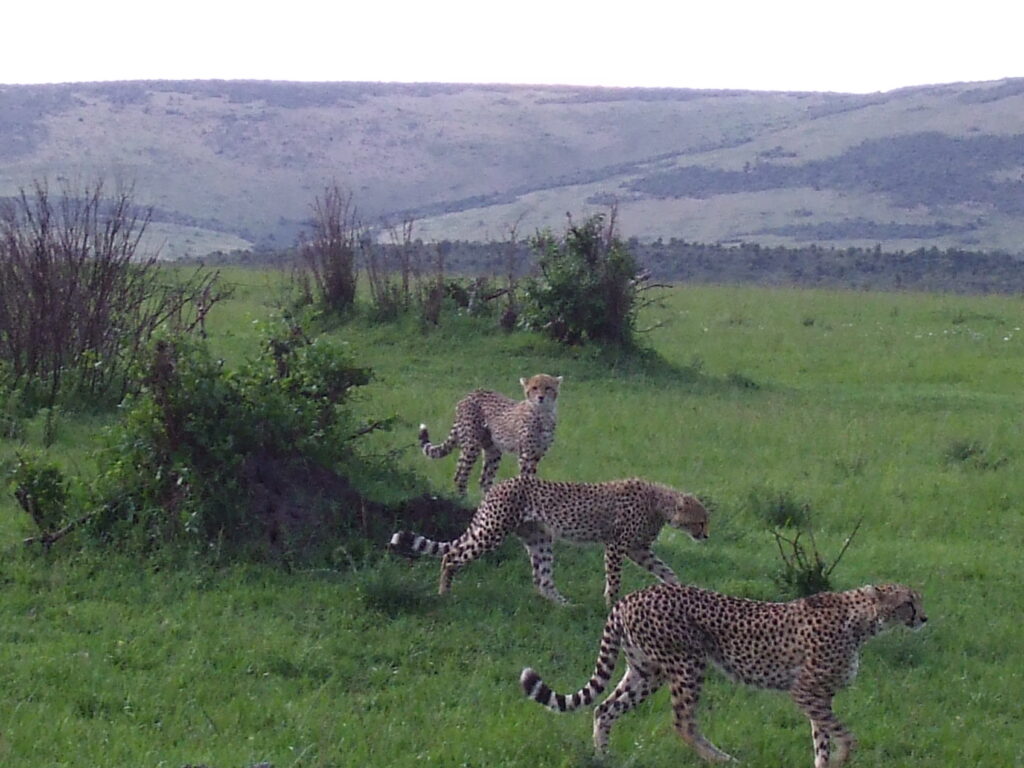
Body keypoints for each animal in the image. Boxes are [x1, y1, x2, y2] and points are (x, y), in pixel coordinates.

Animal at [387, 475, 708, 606]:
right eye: (701, 520)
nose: (706, 535)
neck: (659, 503)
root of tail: (499, 485)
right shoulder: (618, 546)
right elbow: (615, 578)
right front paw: (610, 602)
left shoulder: (638, 549)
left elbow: (665, 569)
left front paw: (678, 589)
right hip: (492, 531)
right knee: (450, 555)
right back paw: (444, 592)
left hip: (539, 539)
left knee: (542, 580)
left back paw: (565, 606)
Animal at [415, 374, 561, 499]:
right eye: (534, 388)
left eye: (548, 388)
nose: (541, 397)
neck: (543, 413)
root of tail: (470, 394)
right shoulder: (526, 453)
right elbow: (526, 478)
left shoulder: (537, 454)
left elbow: (532, 478)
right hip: (472, 444)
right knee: (461, 474)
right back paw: (463, 498)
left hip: (493, 450)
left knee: (483, 478)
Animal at [524, 581, 925, 768]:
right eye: (908, 602)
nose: (923, 617)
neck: (860, 620)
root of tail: (632, 595)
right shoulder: (805, 691)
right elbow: (846, 736)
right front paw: (843, 756)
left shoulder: (818, 696)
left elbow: (822, 739)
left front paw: (826, 760)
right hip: (687, 664)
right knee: (683, 723)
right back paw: (723, 760)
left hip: (646, 672)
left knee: (604, 709)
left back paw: (604, 757)